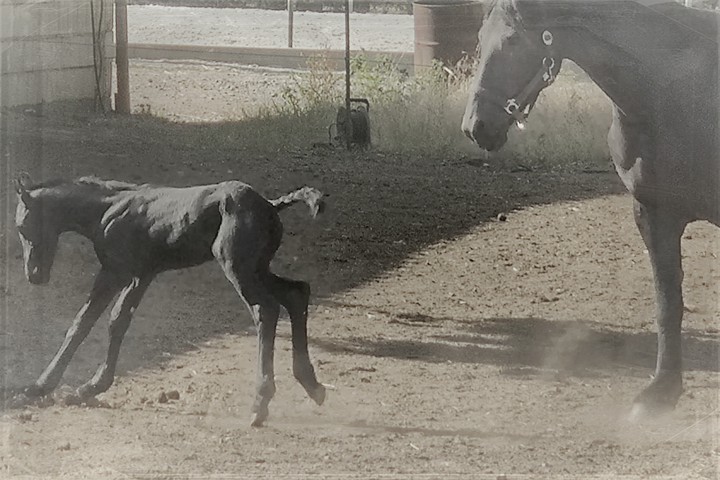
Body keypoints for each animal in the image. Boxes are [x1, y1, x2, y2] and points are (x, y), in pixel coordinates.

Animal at [12, 174, 327, 427]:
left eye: (22, 226)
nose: (34, 275)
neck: (107, 210)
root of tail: (270, 205)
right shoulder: (138, 275)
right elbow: (97, 321)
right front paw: (59, 387)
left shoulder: (119, 272)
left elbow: (101, 321)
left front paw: (73, 386)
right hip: (258, 269)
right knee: (296, 294)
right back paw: (312, 385)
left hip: (238, 269)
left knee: (266, 309)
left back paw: (260, 403)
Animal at [461, 0, 719, 419]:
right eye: (481, 38)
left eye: (513, 40)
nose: (475, 126)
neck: (670, 92)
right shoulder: (654, 214)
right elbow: (668, 304)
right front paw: (662, 392)